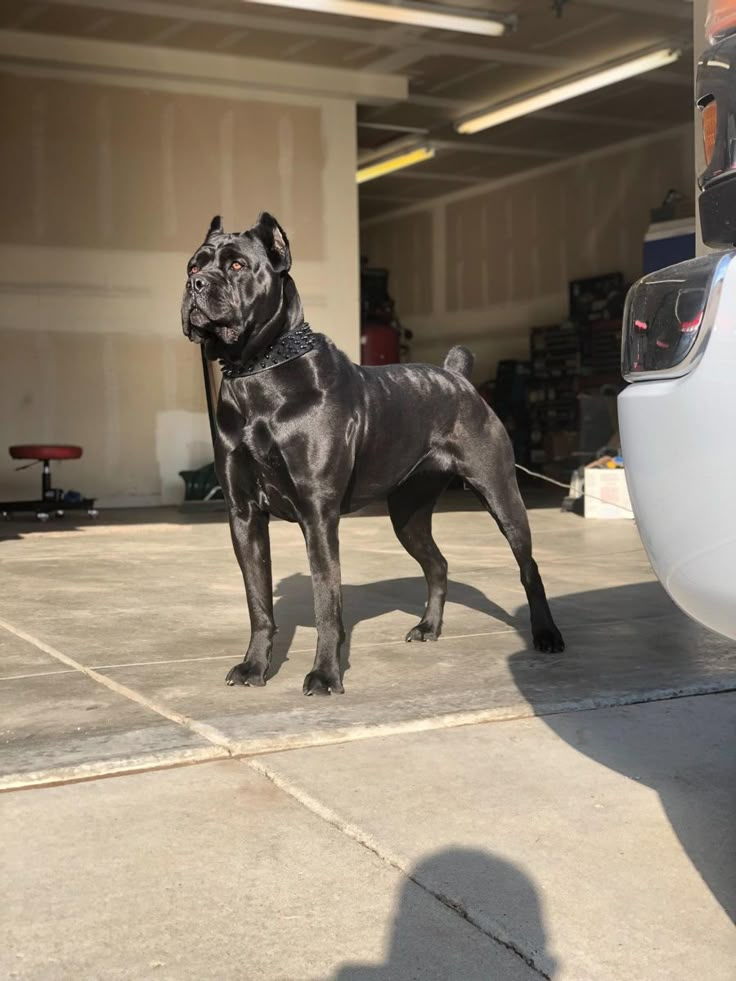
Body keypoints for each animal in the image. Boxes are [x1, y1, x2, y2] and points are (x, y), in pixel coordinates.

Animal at [183, 212, 564, 692]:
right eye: (193, 265)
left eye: (236, 266)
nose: (194, 284)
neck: (258, 371)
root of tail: (458, 378)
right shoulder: (244, 514)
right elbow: (258, 602)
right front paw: (254, 667)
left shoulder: (318, 514)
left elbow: (326, 601)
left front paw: (325, 675)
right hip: (408, 514)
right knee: (438, 564)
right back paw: (428, 627)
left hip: (501, 494)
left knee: (528, 567)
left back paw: (547, 634)